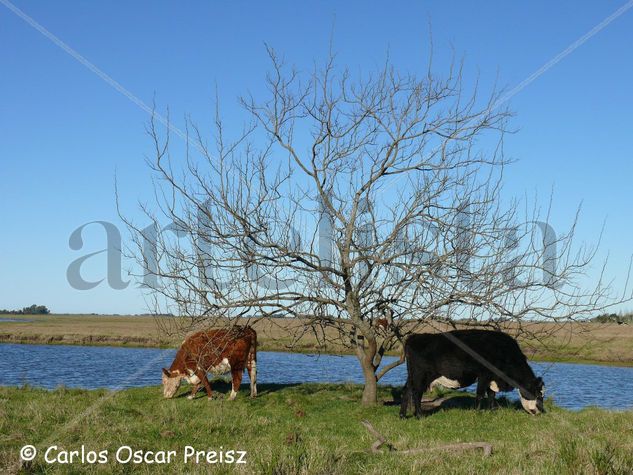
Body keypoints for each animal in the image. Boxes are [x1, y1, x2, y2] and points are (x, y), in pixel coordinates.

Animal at [400, 330, 544, 418]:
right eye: (538, 394)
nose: (541, 411)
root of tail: (415, 337)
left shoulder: (491, 378)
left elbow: (491, 395)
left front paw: (492, 411)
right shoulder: (484, 375)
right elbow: (480, 394)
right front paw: (477, 412)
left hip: (412, 375)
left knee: (406, 390)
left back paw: (403, 415)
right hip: (420, 375)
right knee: (416, 393)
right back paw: (419, 415)